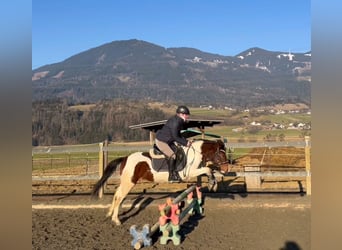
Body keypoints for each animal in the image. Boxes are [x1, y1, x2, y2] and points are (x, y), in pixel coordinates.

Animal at [91, 138, 230, 226]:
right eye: (220, 154)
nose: (226, 169)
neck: (193, 154)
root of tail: (125, 158)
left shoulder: (196, 171)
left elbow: (209, 171)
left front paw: (213, 184)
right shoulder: (189, 173)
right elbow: (208, 169)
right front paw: (213, 184)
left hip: (126, 182)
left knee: (117, 195)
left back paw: (109, 214)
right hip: (129, 183)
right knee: (119, 197)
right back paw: (116, 220)